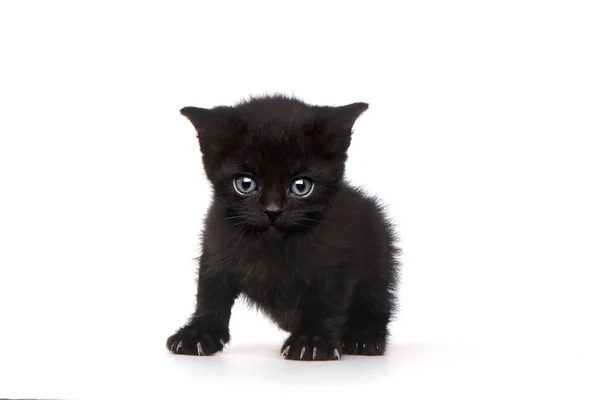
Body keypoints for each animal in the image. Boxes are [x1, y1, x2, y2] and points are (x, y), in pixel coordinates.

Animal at [165, 95, 398, 360]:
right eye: (245, 184)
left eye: (301, 186)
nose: (272, 211)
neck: (272, 244)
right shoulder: (216, 244)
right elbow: (211, 291)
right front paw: (198, 333)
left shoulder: (338, 258)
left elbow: (325, 300)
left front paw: (312, 341)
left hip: (380, 252)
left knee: (376, 302)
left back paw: (364, 337)